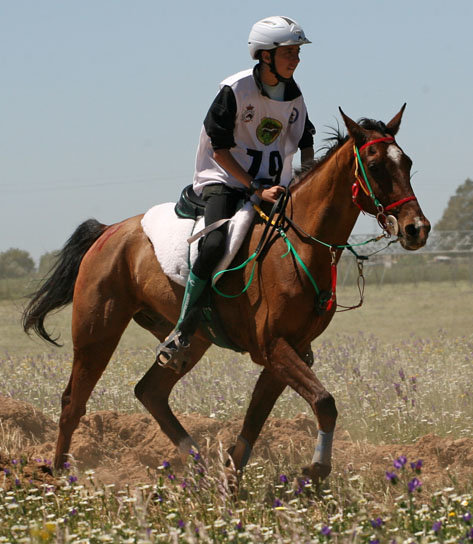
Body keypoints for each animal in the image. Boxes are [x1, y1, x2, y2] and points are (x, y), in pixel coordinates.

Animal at [22, 105, 430, 480]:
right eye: (374, 166)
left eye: (407, 163)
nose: (417, 229)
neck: (298, 244)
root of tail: (108, 231)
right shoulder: (273, 347)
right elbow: (324, 401)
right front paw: (315, 469)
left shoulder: (289, 350)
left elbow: (257, 418)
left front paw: (232, 478)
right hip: (97, 332)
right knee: (73, 402)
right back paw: (60, 476)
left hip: (193, 340)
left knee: (150, 392)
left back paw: (200, 466)